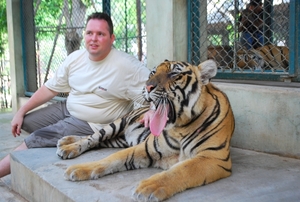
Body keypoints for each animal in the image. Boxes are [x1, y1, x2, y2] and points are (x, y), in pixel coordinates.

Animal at [55, 59, 234, 201]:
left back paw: (65, 142)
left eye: (174, 74)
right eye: (153, 72)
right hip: (116, 124)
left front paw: (149, 187)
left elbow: (181, 170)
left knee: (98, 141)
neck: (180, 127)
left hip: (118, 140)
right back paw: (67, 145)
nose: (147, 87)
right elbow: (111, 159)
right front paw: (79, 169)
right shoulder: (146, 147)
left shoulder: (213, 157)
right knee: (92, 138)